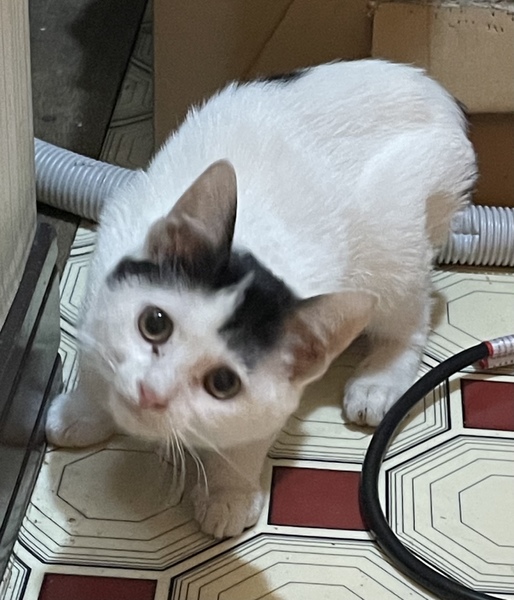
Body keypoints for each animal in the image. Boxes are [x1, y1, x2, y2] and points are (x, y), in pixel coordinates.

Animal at [46, 59, 477, 538]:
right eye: (154, 323)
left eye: (223, 383)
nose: (150, 393)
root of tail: (433, 89)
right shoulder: (103, 269)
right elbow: (92, 360)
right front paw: (84, 412)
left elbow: (247, 439)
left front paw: (228, 492)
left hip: (393, 238)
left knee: (414, 311)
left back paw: (380, 377)